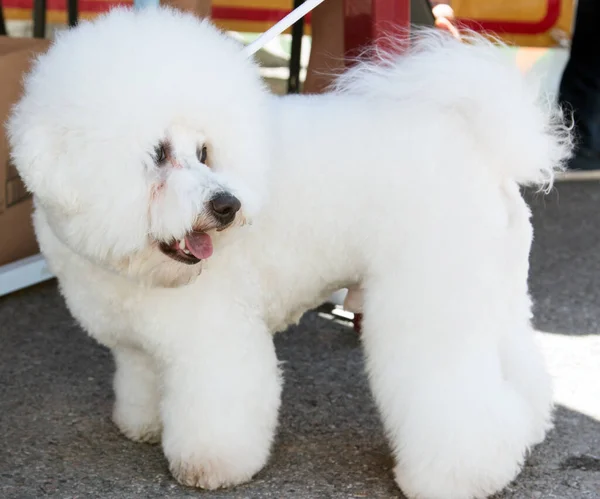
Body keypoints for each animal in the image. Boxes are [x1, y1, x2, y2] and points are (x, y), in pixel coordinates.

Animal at [8, 5, 572, 498]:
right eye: (158, 154)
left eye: (204, 151)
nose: (226, 205)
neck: (137, 266)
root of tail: (479, 145)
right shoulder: (137, 345)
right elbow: (143, 383)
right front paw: (143, 426)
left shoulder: (215, 338)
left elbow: (219, 407)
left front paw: (210, 466)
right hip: (490, 289)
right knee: (516, 365)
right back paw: (528, 427)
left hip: (429, 298)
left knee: (454, 397)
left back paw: (458, 477)